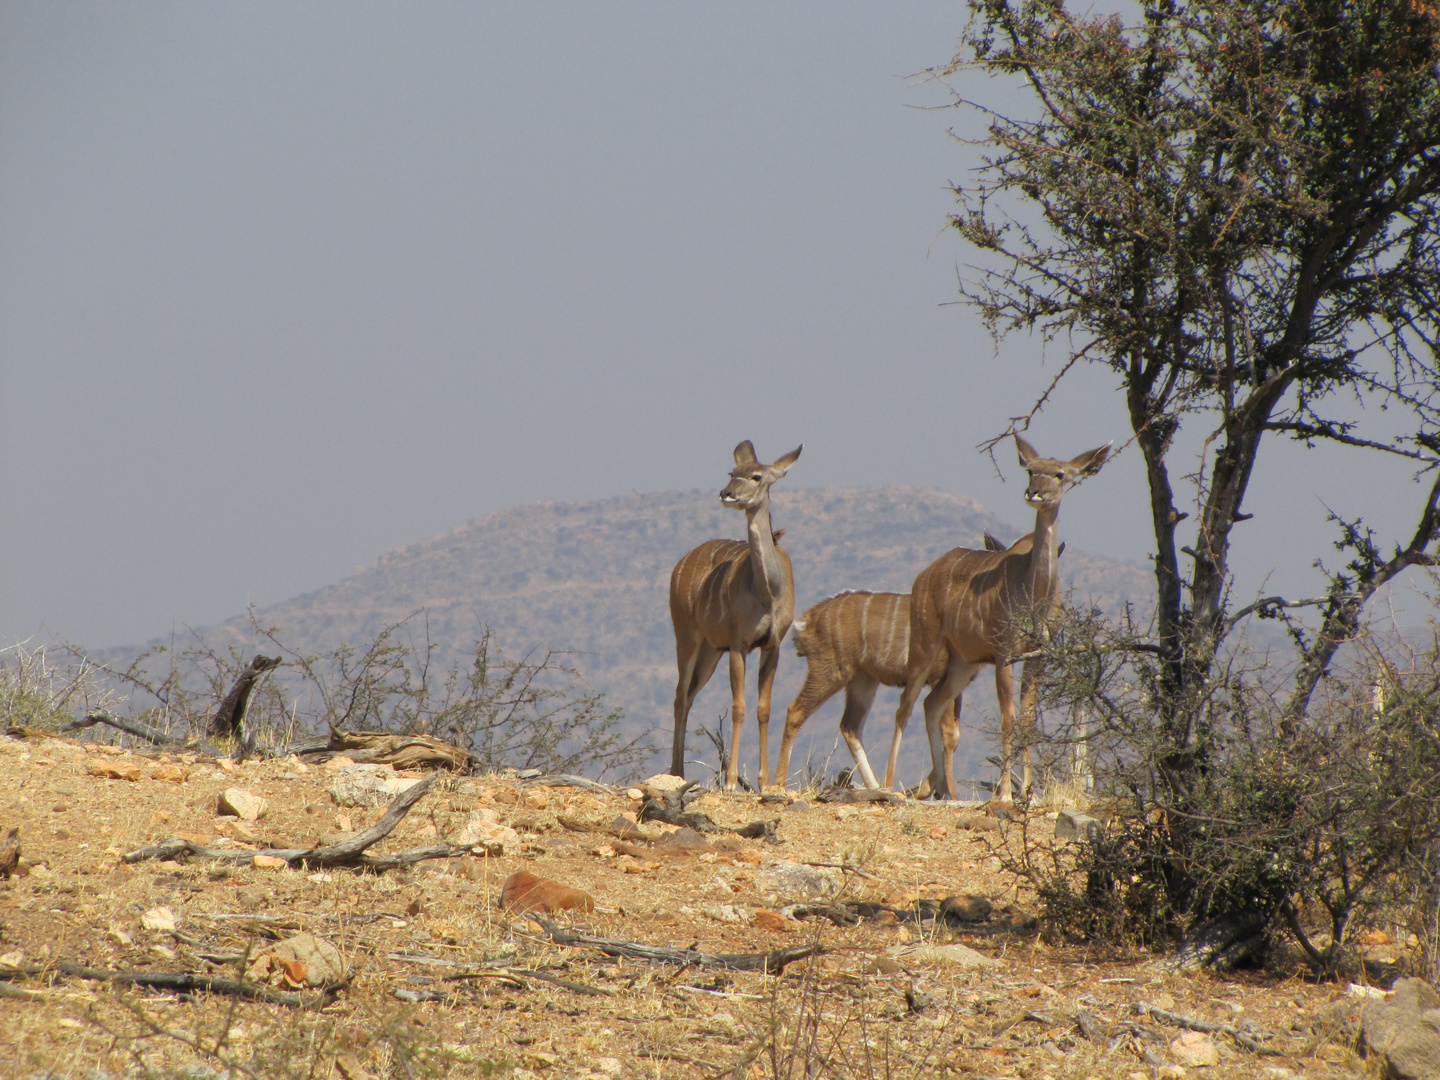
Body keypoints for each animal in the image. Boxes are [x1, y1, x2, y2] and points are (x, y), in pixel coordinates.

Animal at [671, 443, 806, 789]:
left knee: (689, 695)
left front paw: (765, 781)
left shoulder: (772, 645)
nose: (726, 494)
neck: (767, 590)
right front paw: (732, 781)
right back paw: (676, 773)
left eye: (756, 476)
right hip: (687, 639)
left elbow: (763, 708)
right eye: (732, 473)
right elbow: (739, 708)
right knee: (680, 696)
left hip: (710, 651)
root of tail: (680, 563)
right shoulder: (738, 645)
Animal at [887, 437, 1111, 806]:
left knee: (932, 704)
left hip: (963, 662)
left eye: (1060, 473)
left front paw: (1029, 792)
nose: (1034, 493)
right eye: (1031, 469)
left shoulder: (1039, 654)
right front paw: (1006, 793)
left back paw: (945, 791)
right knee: (905, 706)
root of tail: (923, 577)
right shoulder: (1004, 652)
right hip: (925, 645)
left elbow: (1028, 717)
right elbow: (1008, 717)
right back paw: (888, 785)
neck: (1033, 590)